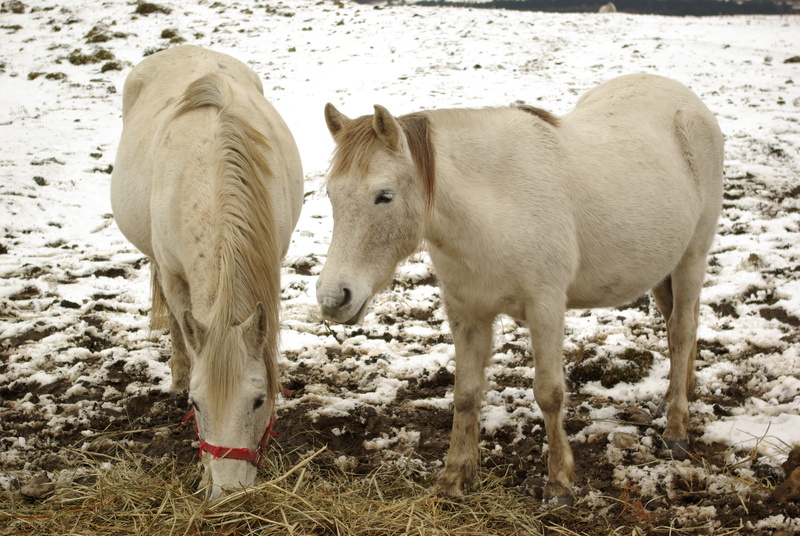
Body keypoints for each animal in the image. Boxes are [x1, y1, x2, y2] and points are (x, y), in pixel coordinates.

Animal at [111, 45, 303, 500]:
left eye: (258, 400)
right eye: (196, 406)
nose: (229, 493)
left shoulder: (274, 259)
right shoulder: (174, 274)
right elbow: (183, 325)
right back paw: (178, 372)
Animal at [315, 73, 723, 506]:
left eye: (384, 196)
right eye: (331, 195)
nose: (332, 298)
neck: (495, 206)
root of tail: (683, 98)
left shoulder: (545, 307)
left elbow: (549, 393)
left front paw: (559, 484)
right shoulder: (466, 311)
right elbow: (466, 394)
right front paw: (453, 478)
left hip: (692, 256)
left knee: (681, 330)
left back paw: (676, 429)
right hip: (663, 266)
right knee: (678, 326)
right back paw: (675, 397)